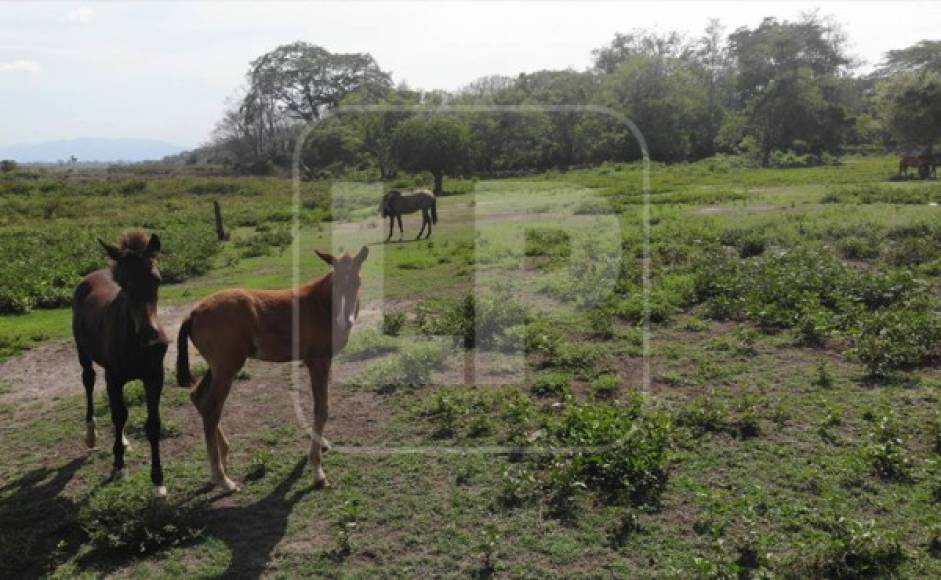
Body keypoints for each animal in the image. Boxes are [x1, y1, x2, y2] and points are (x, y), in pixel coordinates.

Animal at [72, 231, 169, 498]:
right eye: (125, 284)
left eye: (157, 279)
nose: (151, 337)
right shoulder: (114, 377)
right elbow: (118, 416)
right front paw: (119, 466)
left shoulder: (154, 376)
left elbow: (153, 424)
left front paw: (158, 480)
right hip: (84, 353)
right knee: (88, 381)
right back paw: (91, 434)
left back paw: (123, 441)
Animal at [178, 245, 370, 490]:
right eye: (335, 281)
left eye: (358, 281)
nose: (345, 321)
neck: (321, 304)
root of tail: (193, 313)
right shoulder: (318, 361)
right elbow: (321, 408)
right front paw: (317, 471)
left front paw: (322, 445)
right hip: (226, 369)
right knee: (211, 407)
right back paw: (223, 479)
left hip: (217, 367)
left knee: (198, 398)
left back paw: (225, 455)